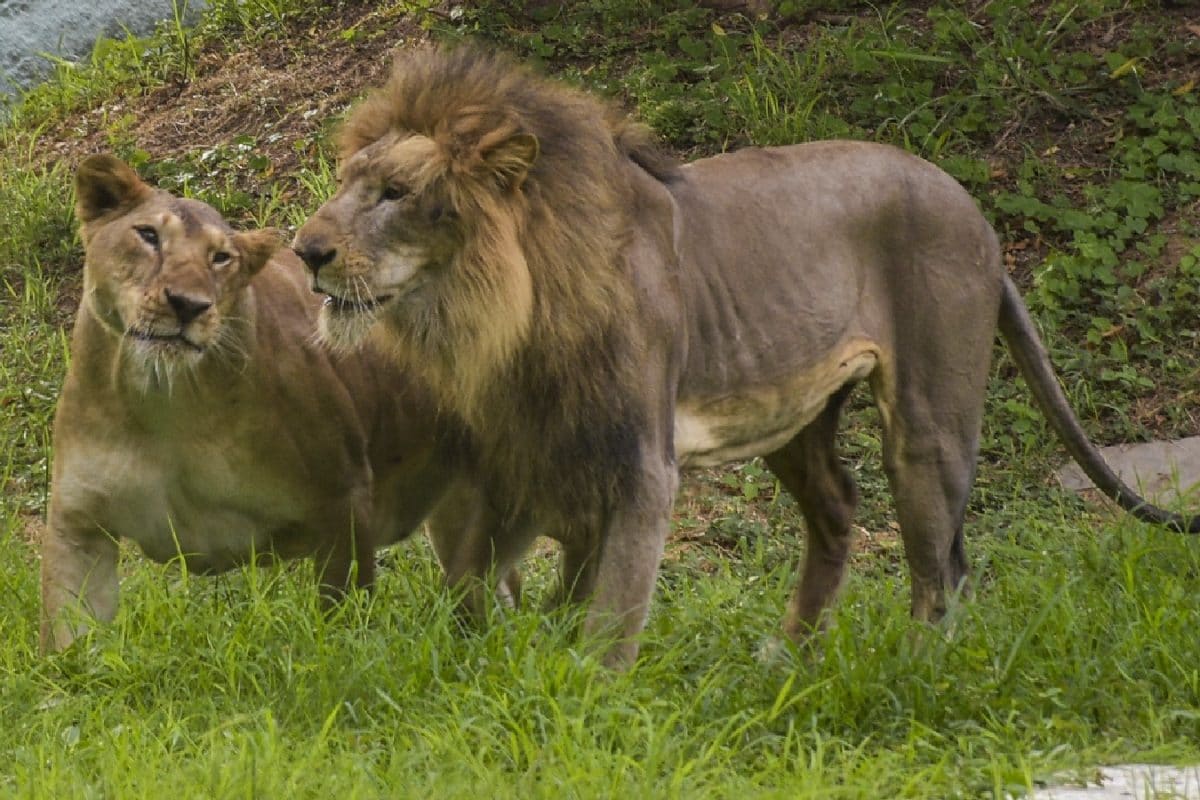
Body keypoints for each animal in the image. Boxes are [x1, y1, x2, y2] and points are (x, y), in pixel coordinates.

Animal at [40, 154, 481, 653]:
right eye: (148, 235)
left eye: (220, 258)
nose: (187, 305)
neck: (162, 404)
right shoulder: (79, 527)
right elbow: (69, 639)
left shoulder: (343, 498)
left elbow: (343, 617)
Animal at [292, 44, 1198, 668]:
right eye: (346, 181)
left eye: (396, 194)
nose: (305, 251)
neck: (504, 311)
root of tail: (978, 217)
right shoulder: (533, 450)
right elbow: (488, 580)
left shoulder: (638, 462)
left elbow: (611, 614)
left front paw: (583, 698)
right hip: (796, 417)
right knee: (839, 511)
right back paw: (788, 659)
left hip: (930, 421)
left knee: (941, 569)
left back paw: (910, 671)